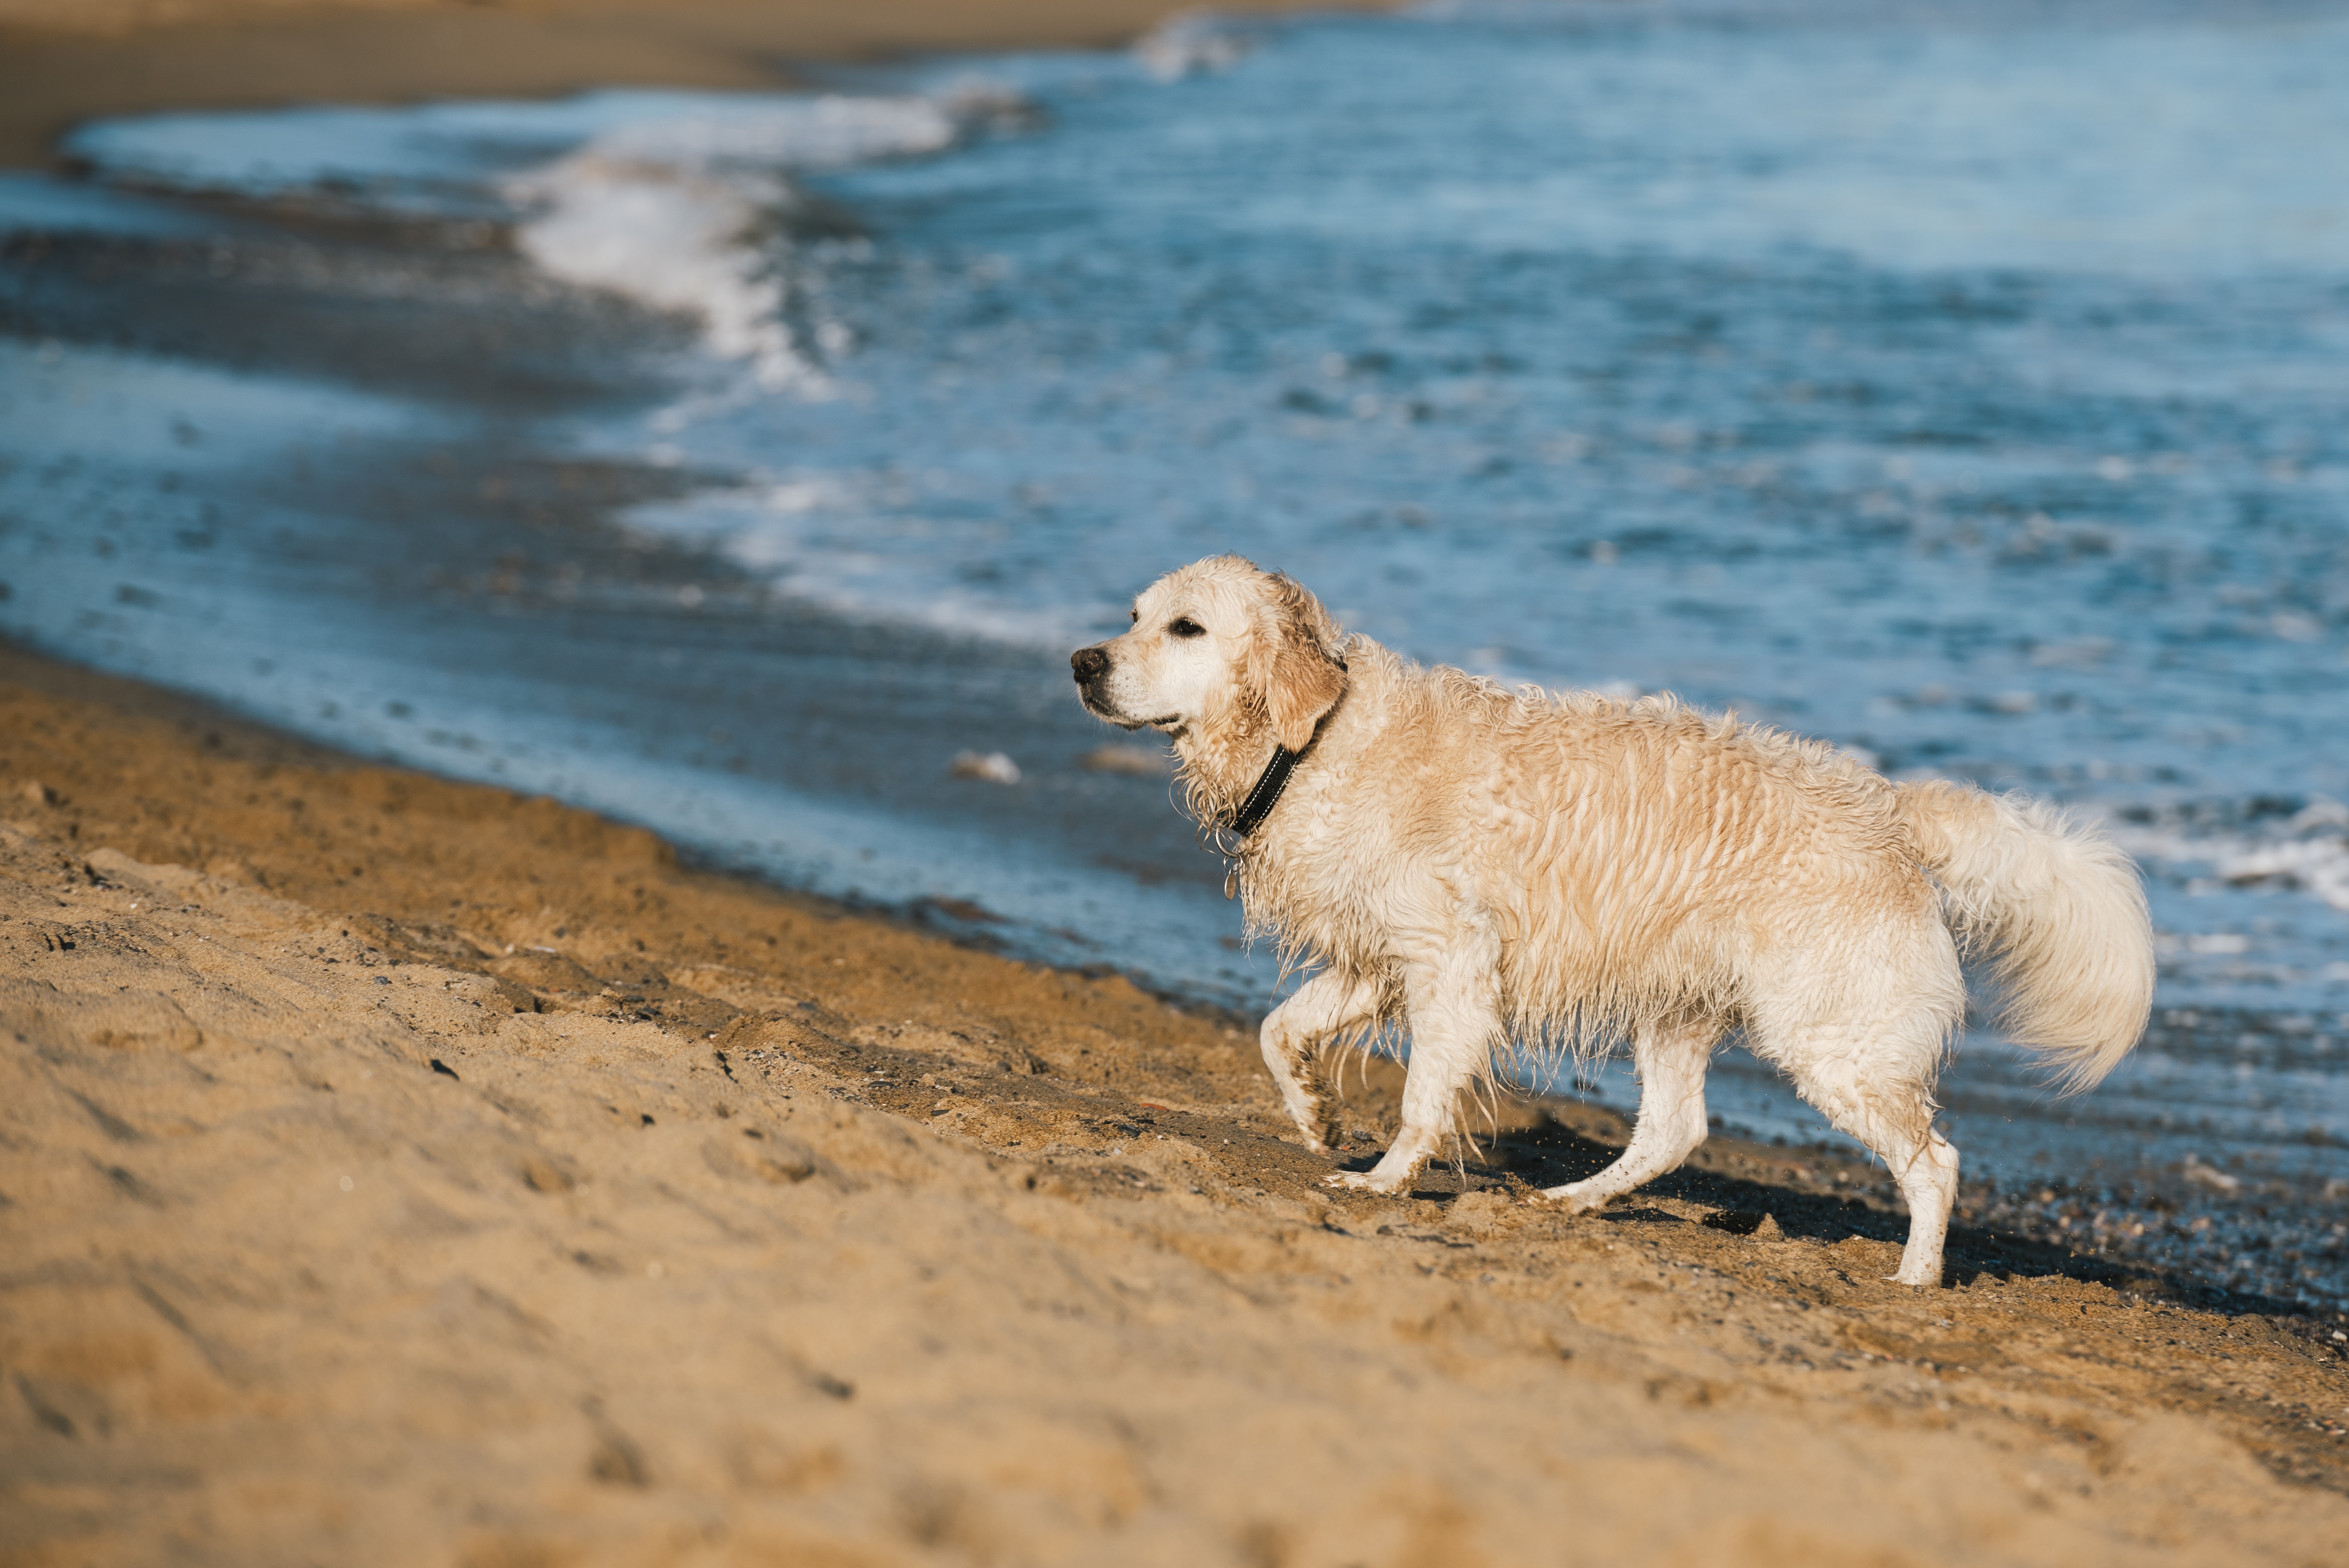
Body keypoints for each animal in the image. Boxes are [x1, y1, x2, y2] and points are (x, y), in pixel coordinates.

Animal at [1076, 554, 2151, 1286]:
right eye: (1133, 616)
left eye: (1186, 628)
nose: (1083, 661)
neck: (1314, 737)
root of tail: (1893, 812)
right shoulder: (1383, 957)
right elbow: (1275, 1028)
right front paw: (1314, 1113)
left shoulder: (1450, 961)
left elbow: (1422, 1094)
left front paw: (1384, 1180)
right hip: (1679, 1004)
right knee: (1676, 1129)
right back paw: (1575, 1199)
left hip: (1832, 1034)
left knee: (1934, 1160)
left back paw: (1916, 1278)